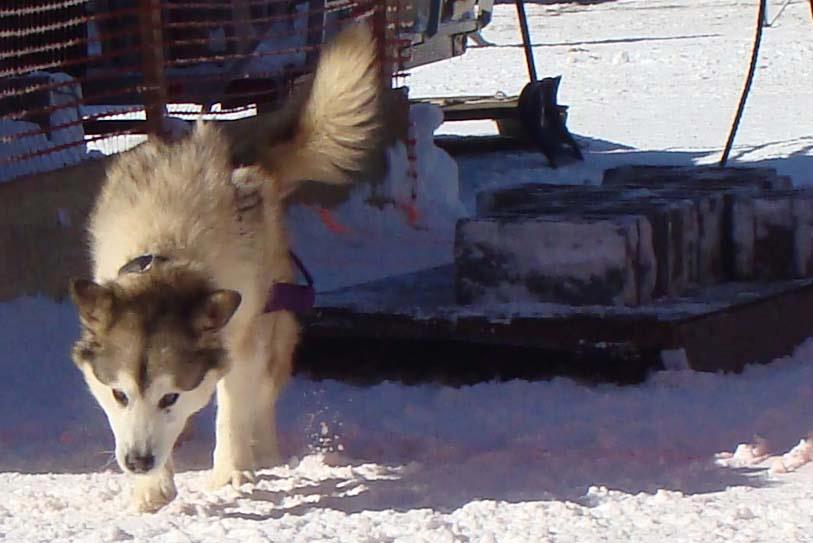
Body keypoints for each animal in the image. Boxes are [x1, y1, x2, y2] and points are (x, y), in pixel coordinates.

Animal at [69, 23, 380, 512]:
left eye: (170, 396)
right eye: (119, 394)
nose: (138, 462)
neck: (168, 249)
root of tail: (248, 162)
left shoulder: (242, 336)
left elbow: (233, 409)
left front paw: (232, 472)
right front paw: (152, 485)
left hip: (275, 320)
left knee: (263, 396)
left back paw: (263, 449)